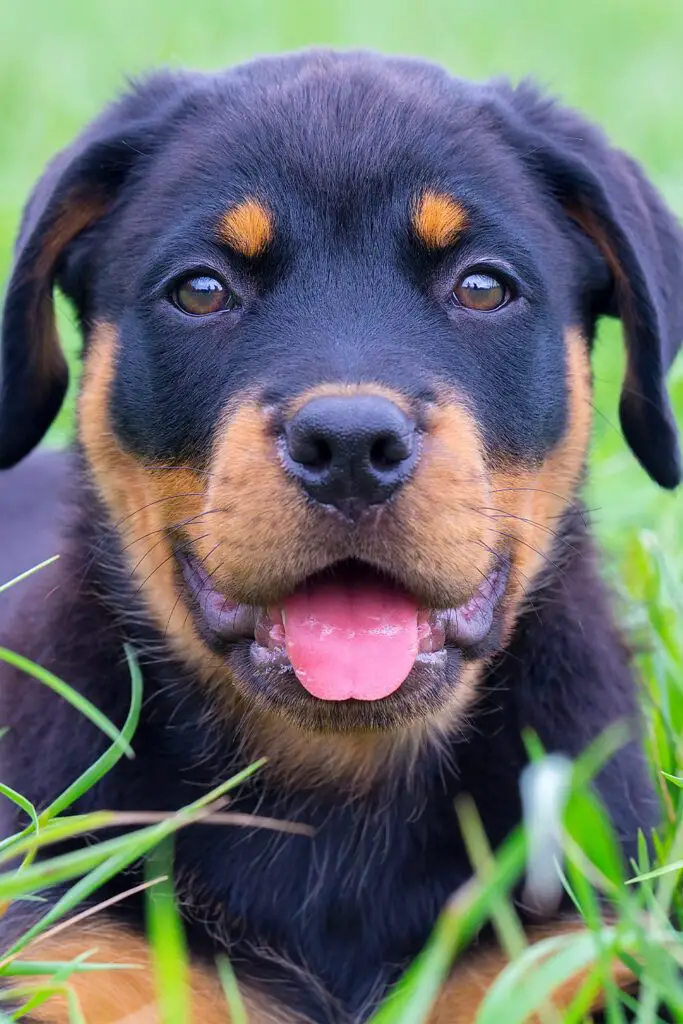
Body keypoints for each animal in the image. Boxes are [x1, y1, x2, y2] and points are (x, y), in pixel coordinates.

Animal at [0, 49, 679, 1024]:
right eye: (201, 290)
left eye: (482, 286)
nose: (351, 446)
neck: (335, 799)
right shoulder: (86, 958)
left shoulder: (572, 951)